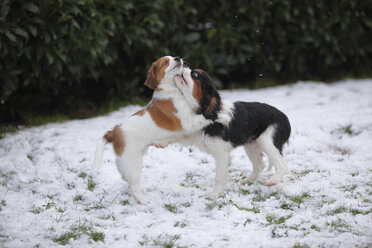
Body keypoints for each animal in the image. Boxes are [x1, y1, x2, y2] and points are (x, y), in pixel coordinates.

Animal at [92, 56, 217, 203]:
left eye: (173, 57)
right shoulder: (187, 121)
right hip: (133, 162)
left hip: (127, 160)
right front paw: (219, 114)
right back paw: (142, 200)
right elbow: (204, 117)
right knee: (133, 186)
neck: (172, 90)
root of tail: (115, 131)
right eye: (165, 63)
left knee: (124, 175)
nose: (178, 58)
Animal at [169, 67, 290, 198]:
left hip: (267, 141)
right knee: (259, 166)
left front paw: (214, 195)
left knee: (283, 165)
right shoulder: (193, 135)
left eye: (195, 74)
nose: (184, 67)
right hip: (251, 146)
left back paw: (273, 180)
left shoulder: (221, 154)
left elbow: (219, 177)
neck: (205, 111)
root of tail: (285, 118)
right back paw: (247, 180)